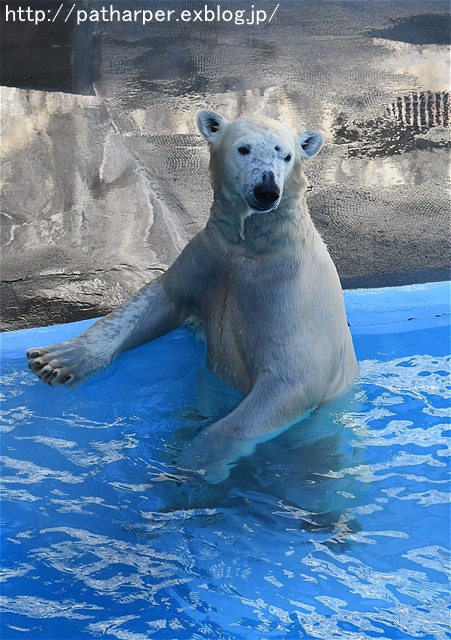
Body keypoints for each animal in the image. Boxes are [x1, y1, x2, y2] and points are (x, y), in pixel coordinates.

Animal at [28, 111, 360, 480]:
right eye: (244, 149)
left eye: (287, 155)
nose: (267, 190)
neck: (255, 246)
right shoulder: (212, 258)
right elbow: (162, 299)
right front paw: (56, 360)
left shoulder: (290, 292)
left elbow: (293, 380)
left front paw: (194, 464)